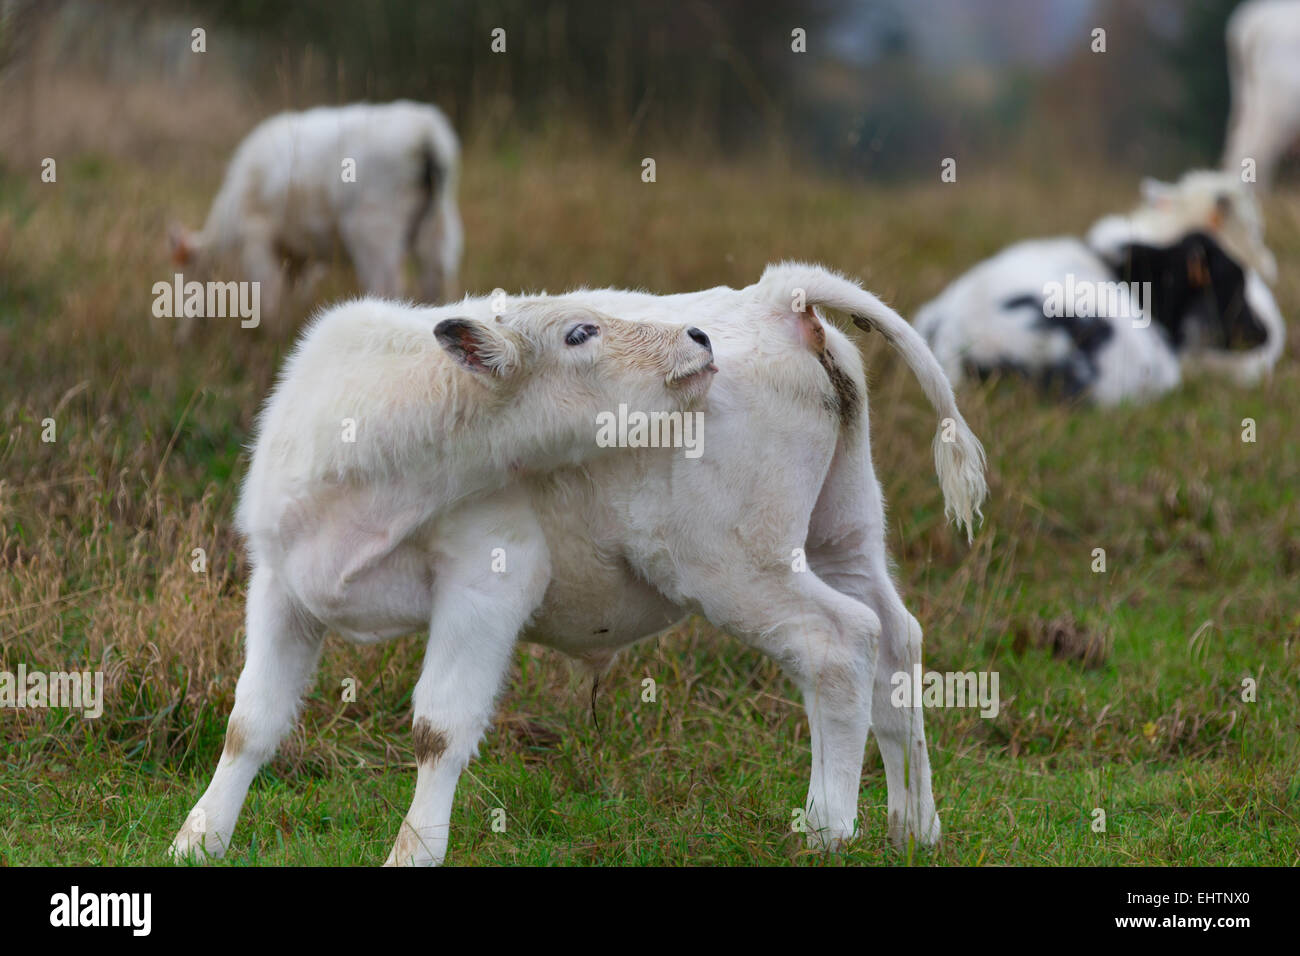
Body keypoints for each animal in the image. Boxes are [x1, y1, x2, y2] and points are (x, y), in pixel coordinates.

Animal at [167, 100, 462, 335]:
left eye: (188, 279)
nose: (183, 336)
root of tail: (423, 128)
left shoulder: (257, 239)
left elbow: (270, 296)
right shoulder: (298, 256)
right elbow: (291, 294)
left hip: (374, 232)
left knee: (388, 288)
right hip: (439, 229)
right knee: (437, 284)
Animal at [170, 264, 982, 868]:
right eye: (580, 330)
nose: (696, 336)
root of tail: (775, 297)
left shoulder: (490, 580)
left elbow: (439, 727)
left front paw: (412, 853)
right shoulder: (281, 585)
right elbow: (250, 721)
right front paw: (199, 839)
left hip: (739, 566)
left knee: (839, 645)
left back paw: (825, 829)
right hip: (843, 533)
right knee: (896, 639)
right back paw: (913, 828)